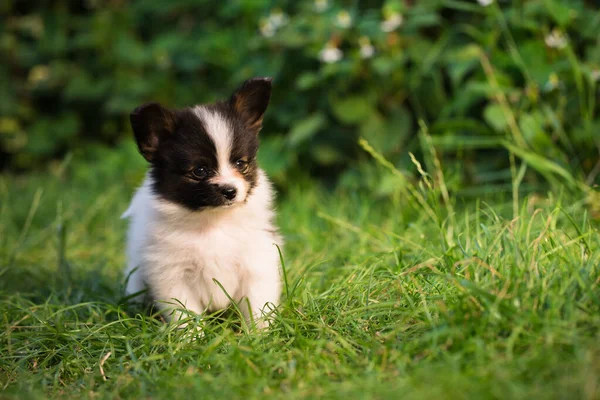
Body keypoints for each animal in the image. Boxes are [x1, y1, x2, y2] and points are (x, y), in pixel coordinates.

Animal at [123, 76, 282, 330]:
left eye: (240, 164)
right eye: (199, 171)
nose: (230, 191)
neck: (212, 221)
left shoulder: (256, 261)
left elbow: (258, 305)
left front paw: (260, 334)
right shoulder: (172, 273)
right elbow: (185, 312)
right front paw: (192, 338)